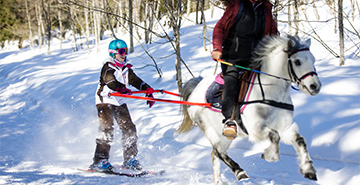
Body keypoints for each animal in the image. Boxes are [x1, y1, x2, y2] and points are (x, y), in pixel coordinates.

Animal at [177, 35, 320, 184]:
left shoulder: (285, 128)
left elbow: (300, 140)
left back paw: (219, 181)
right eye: (297, 62)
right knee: (219, 152)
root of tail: (196, 88)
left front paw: (309, 170)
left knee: (215, 154)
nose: (315, 86)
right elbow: (274, 135)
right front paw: (269, 155)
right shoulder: (255, 129)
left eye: (313, 59)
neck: (270, 92)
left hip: (225, 136)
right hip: (210, 130)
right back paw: (240, 172)